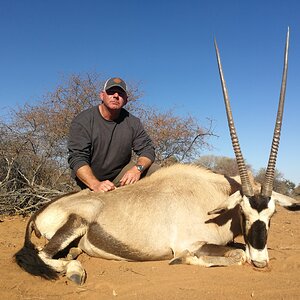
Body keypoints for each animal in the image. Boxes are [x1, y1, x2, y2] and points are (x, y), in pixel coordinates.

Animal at [14, 29, 298, 284]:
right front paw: (184, 260)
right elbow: (237, 255)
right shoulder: (191, 242)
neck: (211, 196)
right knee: (44, 255)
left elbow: (239, 252)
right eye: (243, 212)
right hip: (74, 224)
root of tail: (42, 210)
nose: (261, 261)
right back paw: (75, 271)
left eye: (272, 215)